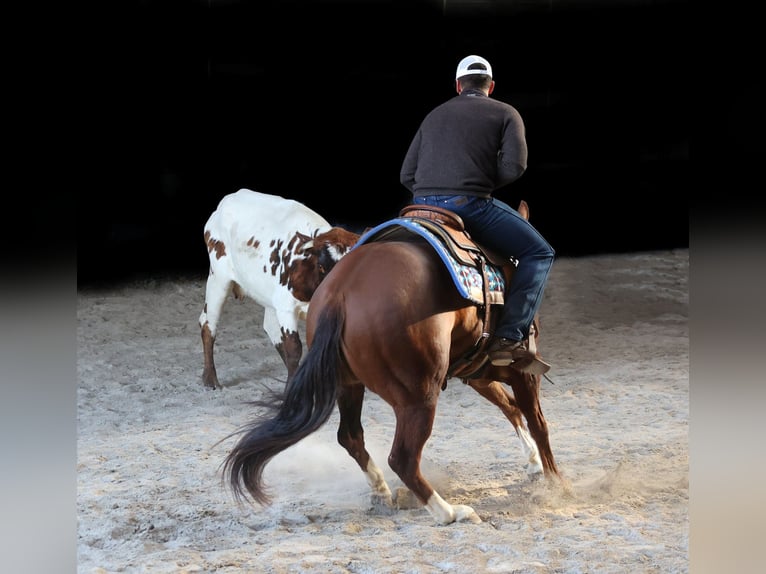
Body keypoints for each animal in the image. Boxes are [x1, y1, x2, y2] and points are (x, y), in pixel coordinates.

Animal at [222, 201, 564, 528]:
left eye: (315, 261)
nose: (291, 284)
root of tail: (340, 293)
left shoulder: (478, 372)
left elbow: (510, 408)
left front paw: (535, 463)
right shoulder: (522, 370)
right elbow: (537, 422)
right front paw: (555, 482)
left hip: (349, 384)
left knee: (351, 437)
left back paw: (382, 491)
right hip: (418, 396)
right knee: (403, 458)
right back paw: (450, 513)